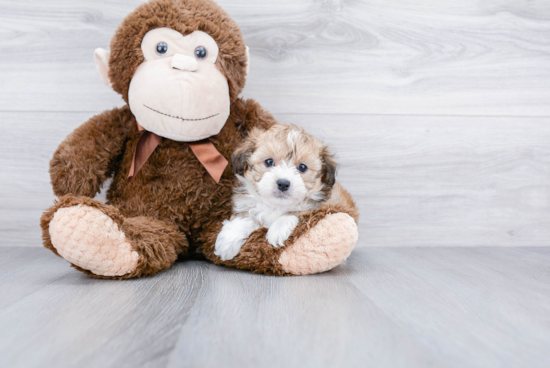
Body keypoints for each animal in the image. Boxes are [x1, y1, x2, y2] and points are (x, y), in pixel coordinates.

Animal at [213, 123, 356, 262]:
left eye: (302, 167)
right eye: (269, 162)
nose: (283, 183)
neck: (276, 205)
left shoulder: (319, 206)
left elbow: (295, 212)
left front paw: (277, 230)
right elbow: (245, 217)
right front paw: (227, 242)